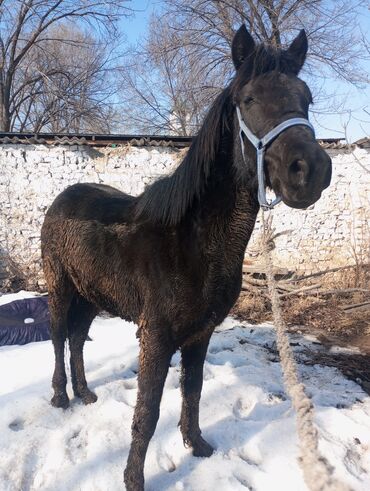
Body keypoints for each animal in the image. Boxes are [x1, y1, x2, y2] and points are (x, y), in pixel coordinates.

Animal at [41, 25, 332, 490]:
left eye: (306, 98)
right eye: (248, 99)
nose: (311, 171)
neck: (193, 243)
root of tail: (62, 199)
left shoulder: (201, 333)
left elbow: (192, 390)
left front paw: (197, 446)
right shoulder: (156, 337)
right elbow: (147, 411)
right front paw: (134, 479)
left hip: (92, 295)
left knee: (75, 338)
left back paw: (85, 393)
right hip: (60, 286)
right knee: (55, 335)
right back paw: (60, 396)